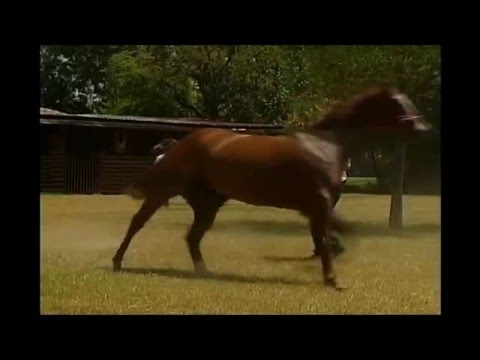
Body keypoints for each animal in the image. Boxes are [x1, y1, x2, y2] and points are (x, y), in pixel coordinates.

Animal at [113, 87, 432, 290]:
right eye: (398, 103)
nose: (423, 130)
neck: (328, 146)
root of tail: (180, 145)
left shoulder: (316, 207)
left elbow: (329, 237)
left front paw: (329, 270)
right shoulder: (319, 204)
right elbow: (330, 239)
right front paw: (333, 279)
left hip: (208, 204)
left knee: (192, 237)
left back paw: (204, 272)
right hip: (164, 192)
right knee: (137, 223)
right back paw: (117, 262)